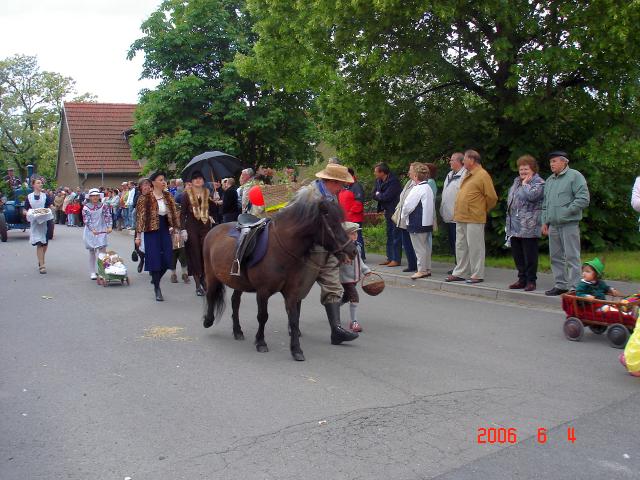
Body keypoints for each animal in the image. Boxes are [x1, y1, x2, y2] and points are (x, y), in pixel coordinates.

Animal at [202, 191, 358, 360]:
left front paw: (296, 349)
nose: (353, 250)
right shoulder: (263, 291)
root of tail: (213, 230)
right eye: (333, 225)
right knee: (210, 294)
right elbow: (263, 316)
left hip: (238, 281)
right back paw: (208, 321)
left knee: (235, 302)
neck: (280, 249)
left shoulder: (292, 291)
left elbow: (294, 319)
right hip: (211, 275)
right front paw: (261, 342)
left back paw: (237, 331)